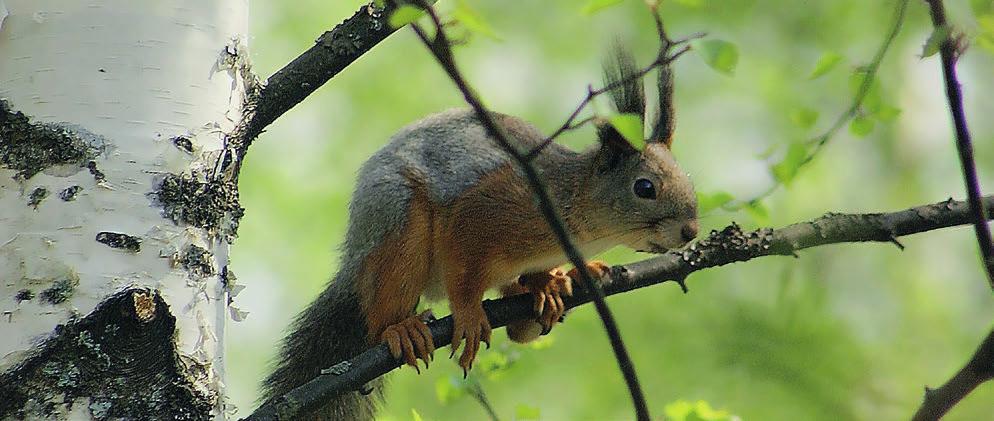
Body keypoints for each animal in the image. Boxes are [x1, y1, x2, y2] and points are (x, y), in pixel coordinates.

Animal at [260, 50, 700, 420]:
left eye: (687, 176)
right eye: (645, 188)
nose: (691, 230)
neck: (573, 205)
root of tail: (355, 256)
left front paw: (550, 280)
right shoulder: (482, 213)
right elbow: (463, 271)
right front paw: (471, 314)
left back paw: (552, 286)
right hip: (398, 223)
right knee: (383, 306)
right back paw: (401, 328)